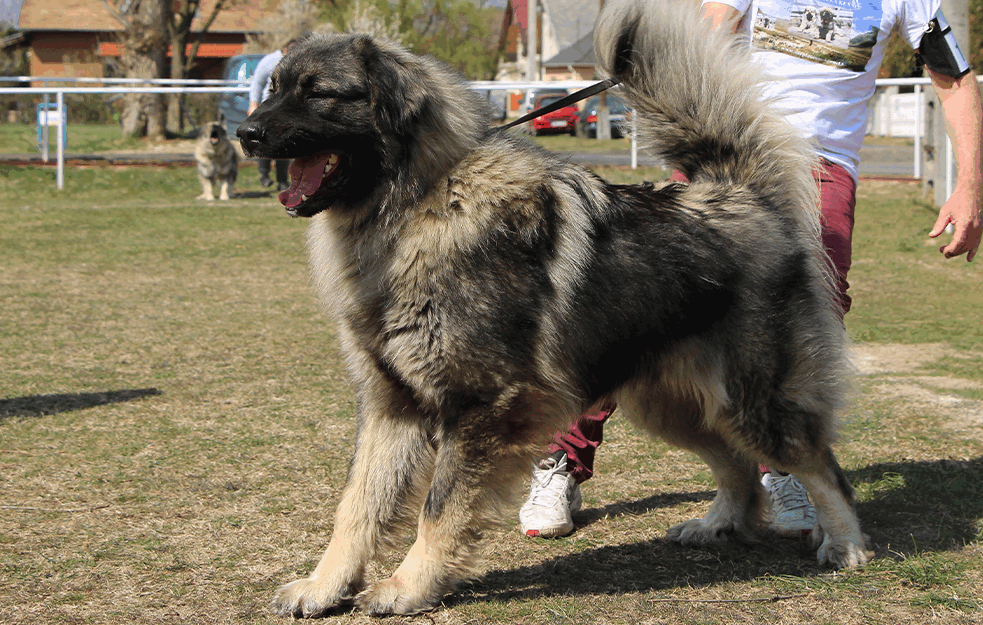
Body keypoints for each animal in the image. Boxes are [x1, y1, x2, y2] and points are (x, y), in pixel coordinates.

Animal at [238, 0, 868, 616]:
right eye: (274, 88)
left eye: (319, 93)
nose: (246, 133)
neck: (421, 203)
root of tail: (738, 192)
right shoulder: (393, 405)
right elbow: (358, 505)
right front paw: (325, 586)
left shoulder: (481, 404)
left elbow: (440, 508)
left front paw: (410, 588)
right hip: (671, 405)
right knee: (737, 465)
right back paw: (718, 525)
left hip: (752, 400)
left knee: (819, 465)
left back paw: (845, 545)